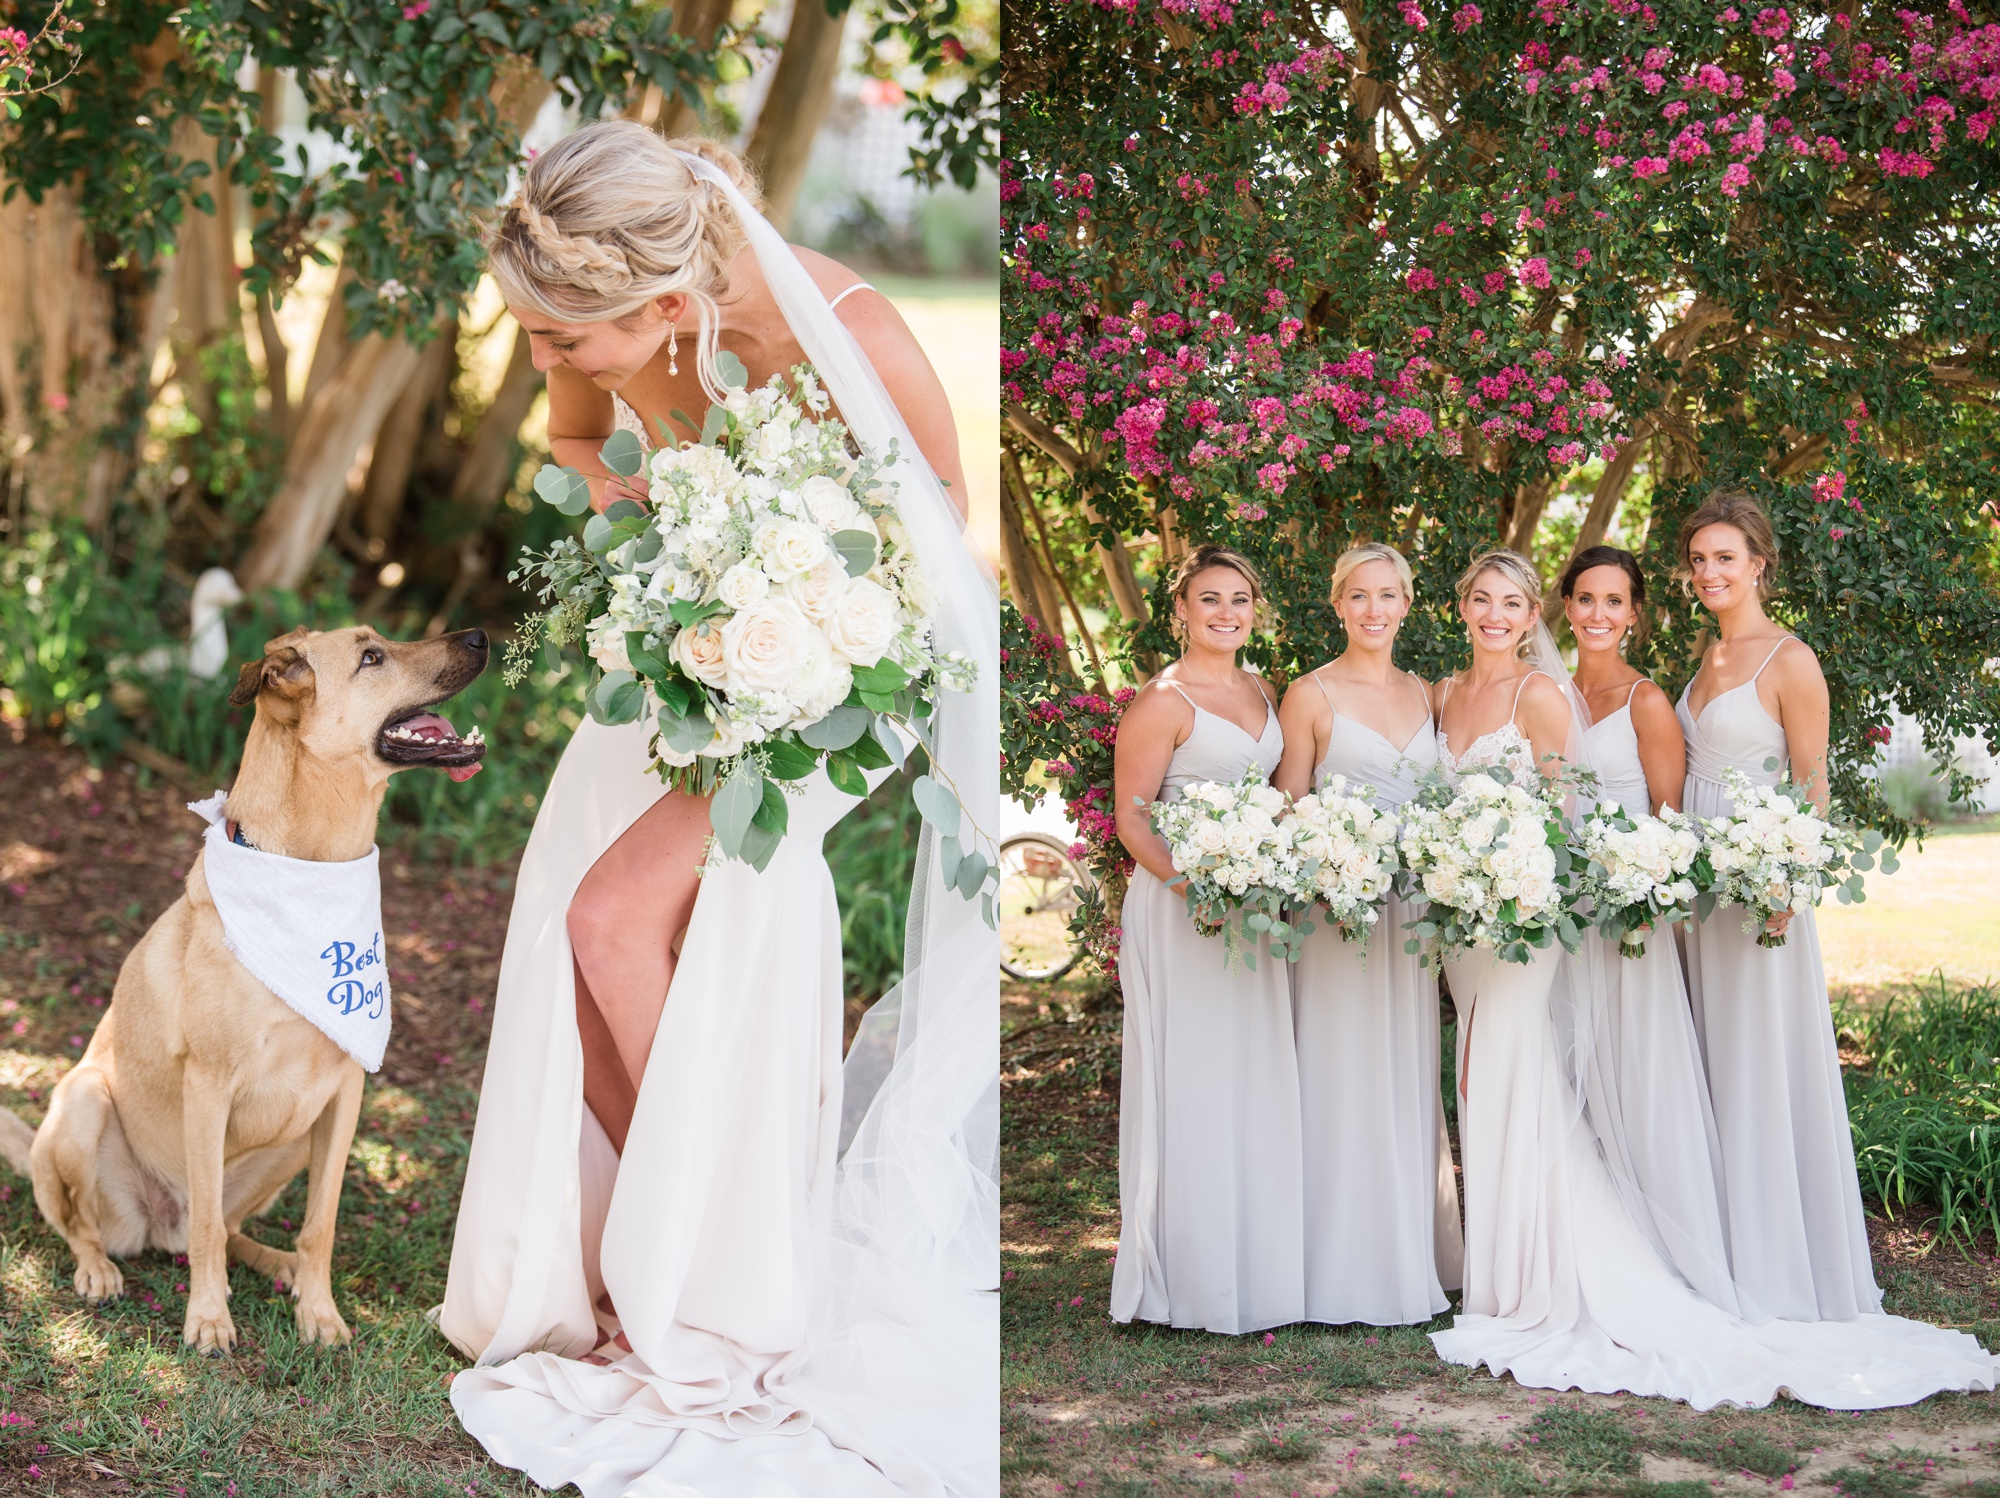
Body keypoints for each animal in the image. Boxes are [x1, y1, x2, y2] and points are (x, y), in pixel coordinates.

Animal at [0, 624, 488, 1352]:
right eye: (371, 656)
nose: (481, 636)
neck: (308, 869)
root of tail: (158, 1225)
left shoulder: (343, 1093)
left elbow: (320, 1225)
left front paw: (319, 1311)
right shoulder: (208, 1086)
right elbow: (206, 1228)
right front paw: (207, 1319)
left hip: (291, 1139)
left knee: (230, 1229)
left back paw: (276, 1264)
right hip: (84, 1102)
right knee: (101, 1227)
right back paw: (99, 1271)